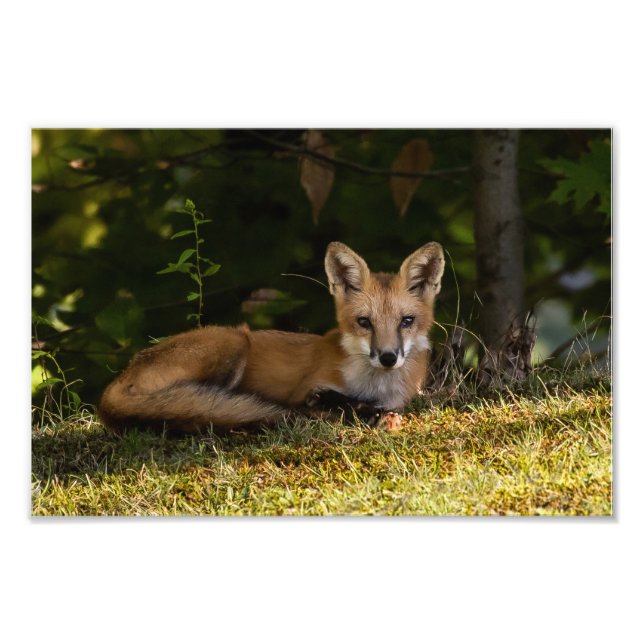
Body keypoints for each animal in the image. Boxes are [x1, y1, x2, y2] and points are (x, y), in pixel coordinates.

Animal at [98, 241, 445, 432]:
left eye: (406, 321)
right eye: (364, 322)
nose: (387, 357)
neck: (375, 386)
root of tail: (113, 388)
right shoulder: (308, 387)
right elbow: (336, 401)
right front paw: (370, 414)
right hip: (234, 341)